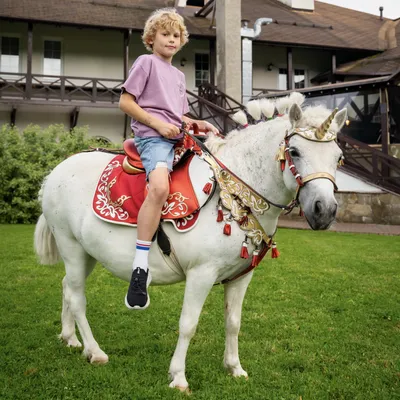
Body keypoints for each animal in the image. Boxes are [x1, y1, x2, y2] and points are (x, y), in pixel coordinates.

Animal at [33, 95, 346, 392]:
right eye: (295, 152)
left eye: (338, 157)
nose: (325, 210)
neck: (235, 193)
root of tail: (55, 172)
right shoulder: (201, 273)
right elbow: (188, 324)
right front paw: (179, 377)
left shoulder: (241, 277)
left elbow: (234, 322)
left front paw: (235, 367)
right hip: (71, 246)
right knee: (77, 298)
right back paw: (94, 351)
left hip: (87, 253)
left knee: (67, 287)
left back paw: (70, 338)